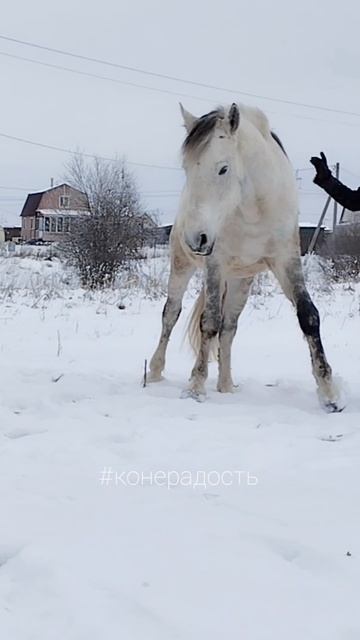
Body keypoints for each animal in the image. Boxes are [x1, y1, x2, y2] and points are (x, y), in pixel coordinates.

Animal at [148, 100, 344, 410]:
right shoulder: (215, 264)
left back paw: (227, 385)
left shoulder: (286, 261)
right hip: (182, 266)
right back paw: (155, 373)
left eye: (223, 169)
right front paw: (195, 388)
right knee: (171, 314)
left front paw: (329, 394)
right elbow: (208, 322)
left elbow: (308, 315)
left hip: (241, 280)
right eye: (187, 168)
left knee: (229, 328)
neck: (253, 208)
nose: (195, 238)